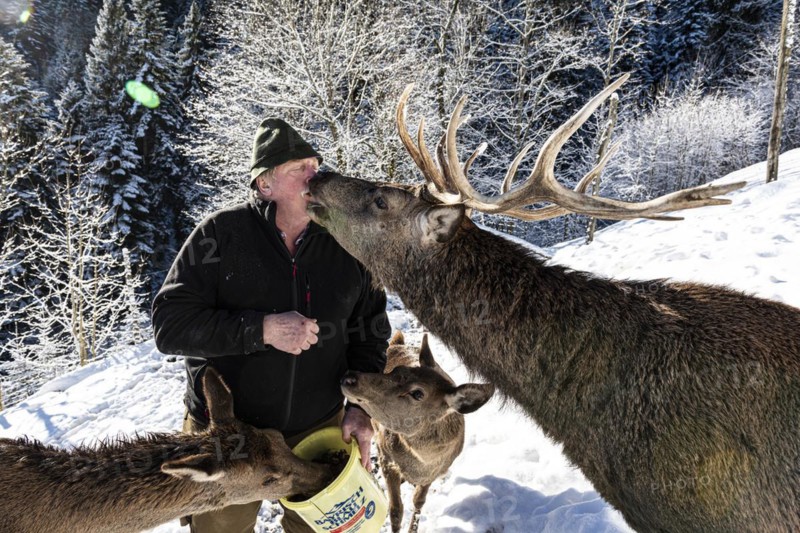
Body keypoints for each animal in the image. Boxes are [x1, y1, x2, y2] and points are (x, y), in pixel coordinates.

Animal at [341, 331, 494, 532]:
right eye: (395, 371)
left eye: (417, 394)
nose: (350, 377)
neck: (422, 464)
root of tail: (397, 342)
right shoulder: (385, 458)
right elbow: (395, 510)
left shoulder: (434, 473)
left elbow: (419, 501)